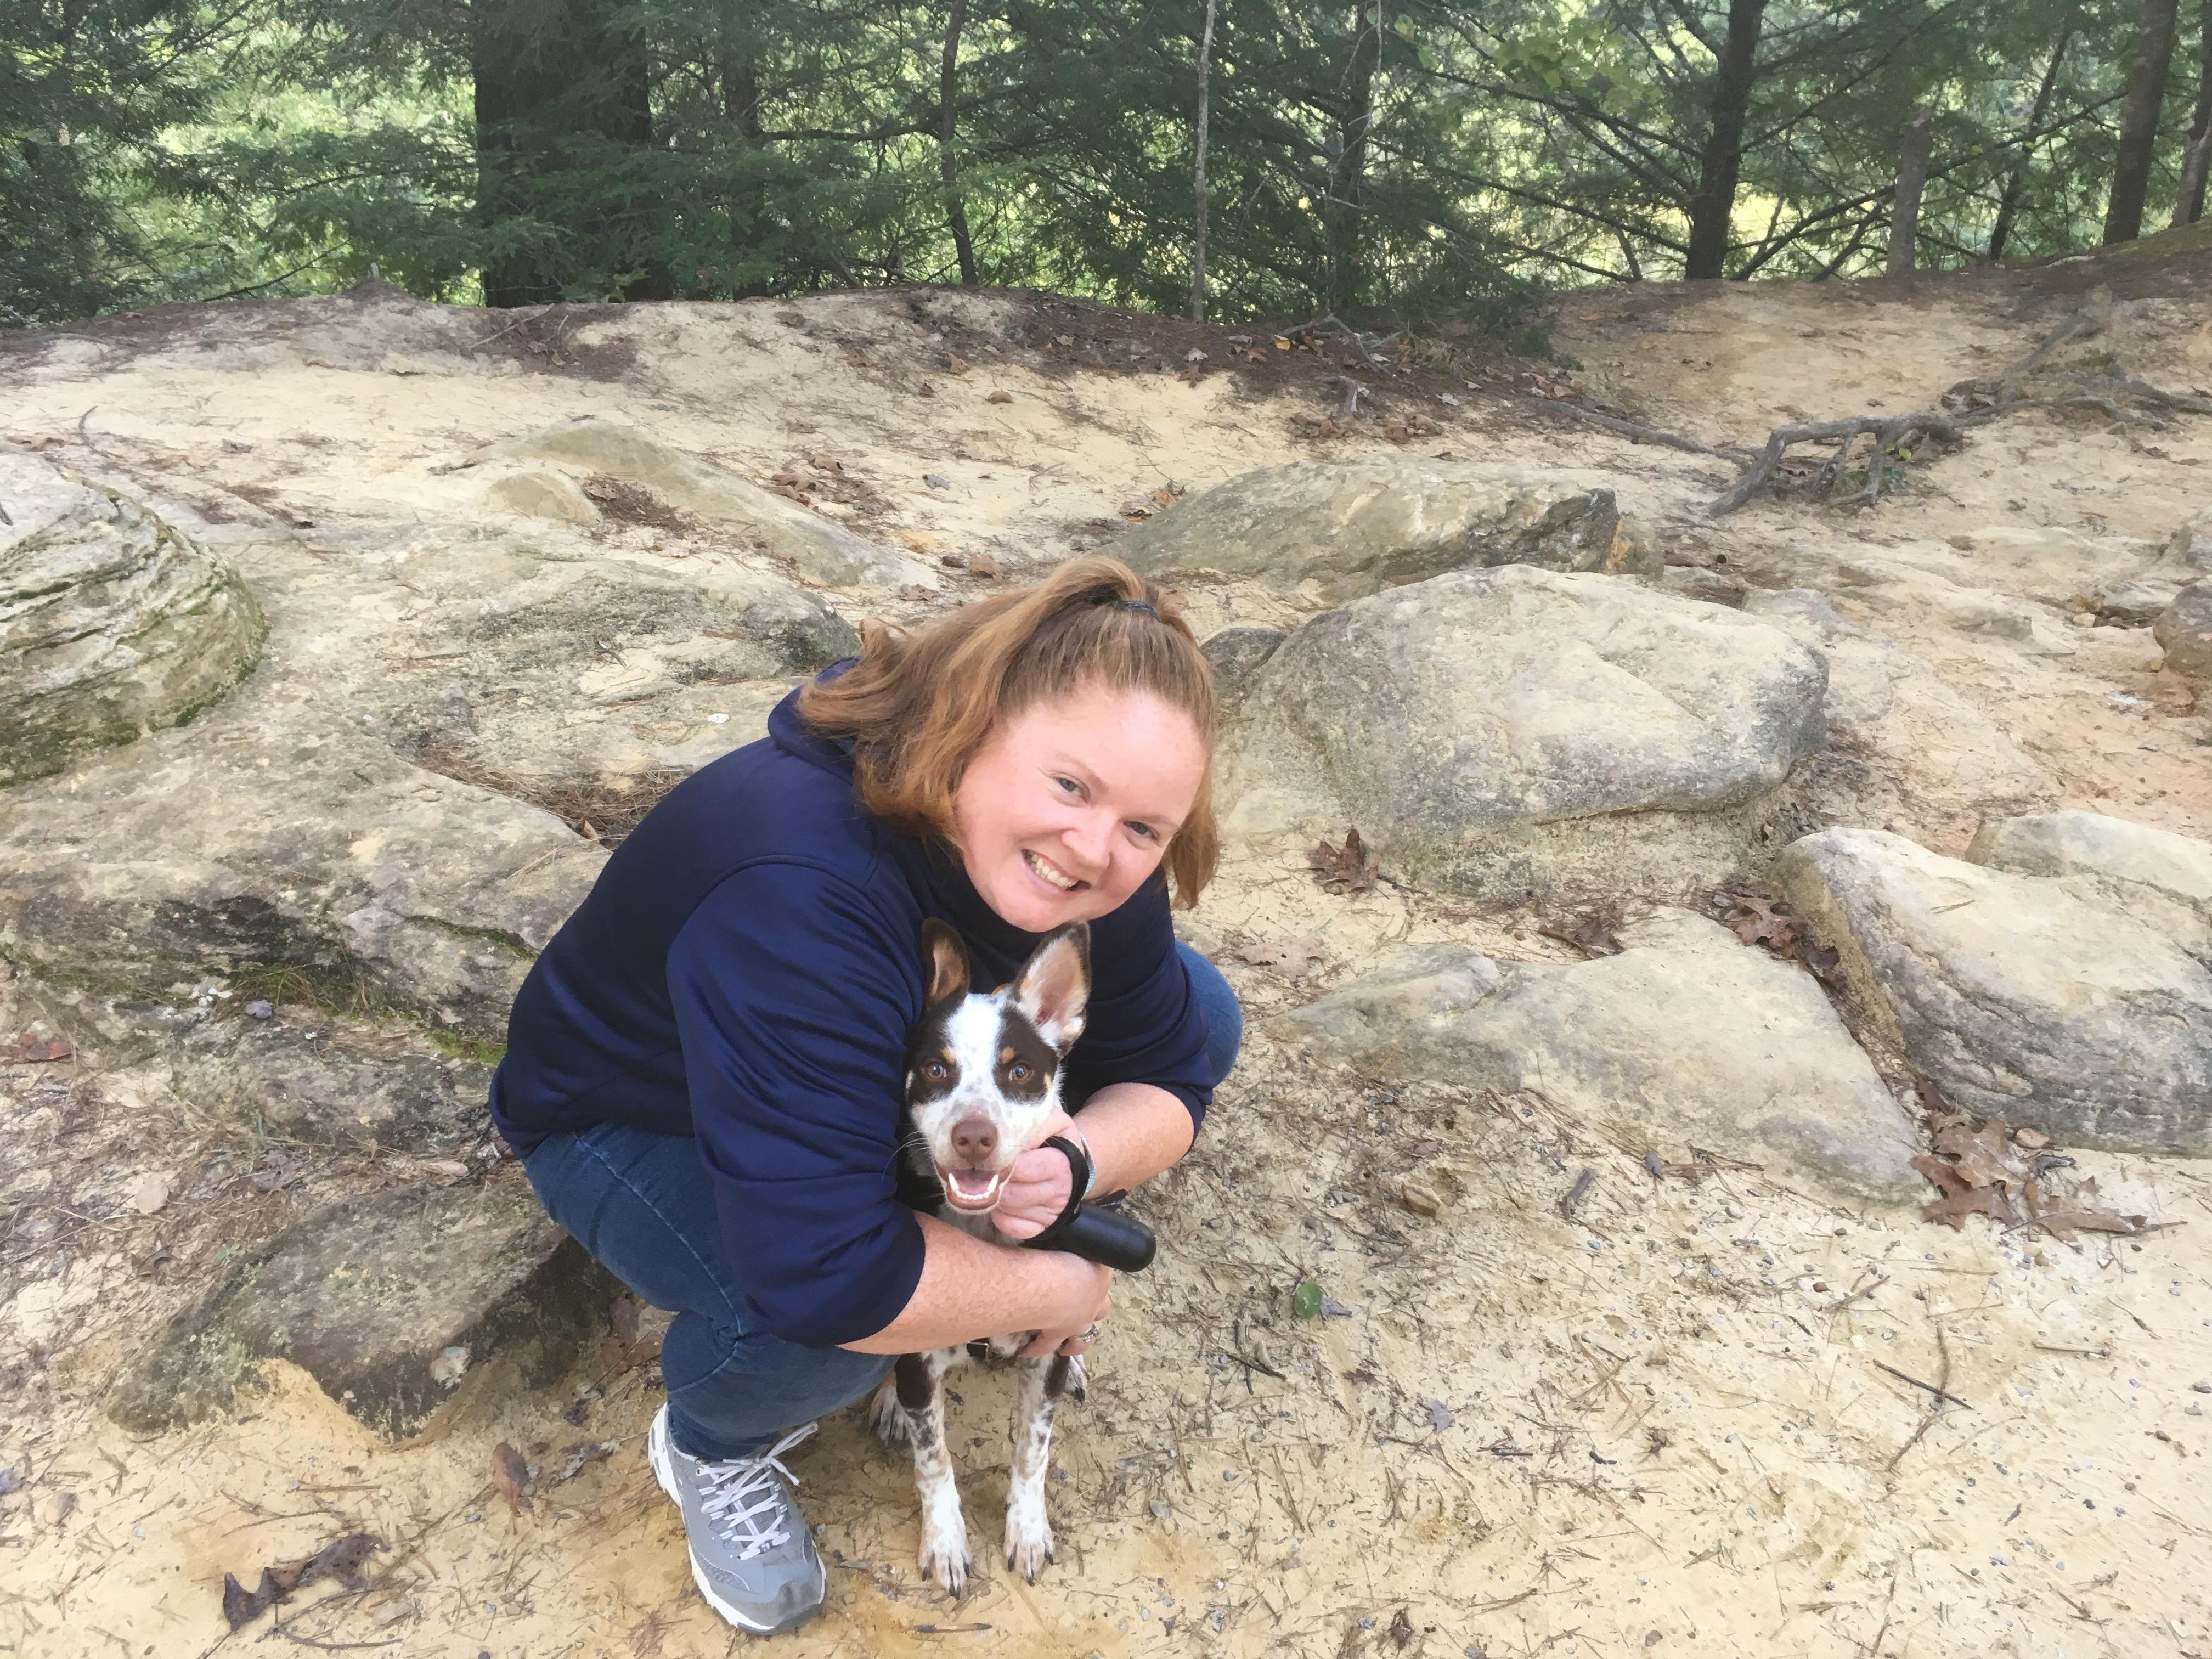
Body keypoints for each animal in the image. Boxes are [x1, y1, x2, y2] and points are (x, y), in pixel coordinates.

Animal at [871, 924, 1097, 1601]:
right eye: (935, 1069)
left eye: (1019, 1071)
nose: (974, 1136)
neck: (986, 1233)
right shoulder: (918, 1356)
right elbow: (934, 1460)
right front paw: (945, 1540)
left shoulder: (1046, 1353)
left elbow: (1033, 1451)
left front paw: (1027, 1528)